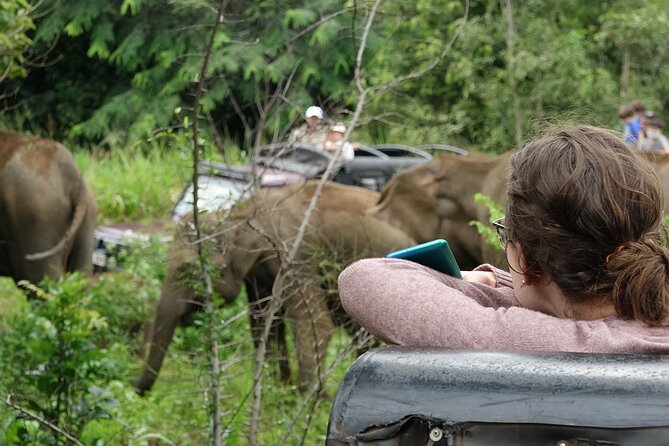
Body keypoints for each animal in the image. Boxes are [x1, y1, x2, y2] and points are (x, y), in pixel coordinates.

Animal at [135, 181, 415, 394]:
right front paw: (279, 392)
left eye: (189, 270)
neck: (241, 212)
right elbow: (262, 325)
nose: (138, 392)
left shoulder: (293, 255)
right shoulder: (257, 274)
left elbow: (315, 322)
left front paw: (308, 398)